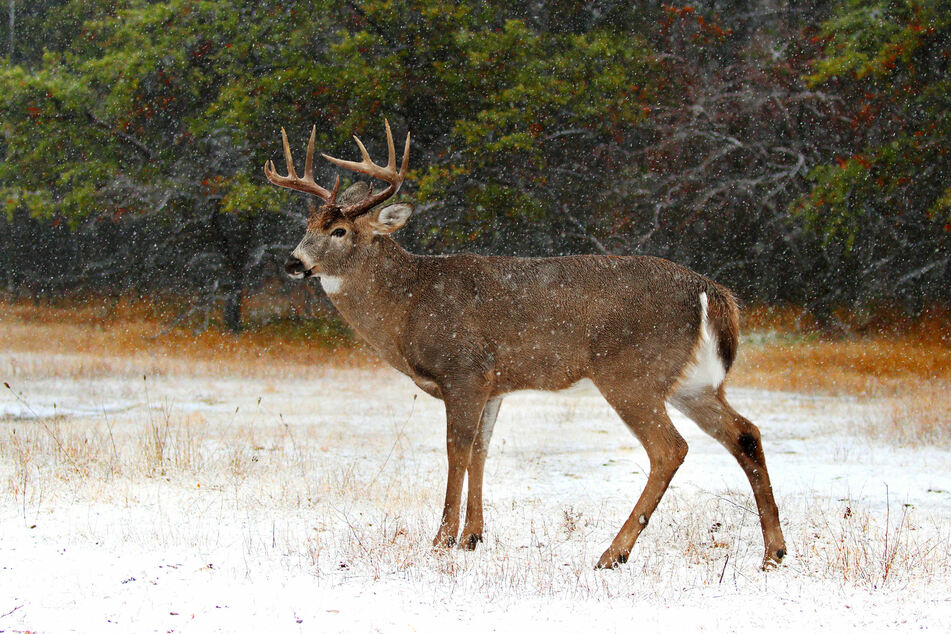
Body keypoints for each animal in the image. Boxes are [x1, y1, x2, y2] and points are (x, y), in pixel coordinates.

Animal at [266, 119, 788, 568]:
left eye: (340, 230)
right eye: (306, 226)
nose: (293, 263)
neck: (410, 305)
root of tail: (712, 292)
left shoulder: (464, 370)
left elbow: (456, 449)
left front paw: (441, 539)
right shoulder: (494, 384)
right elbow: (480, 450)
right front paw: (473, 537)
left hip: (630, 372)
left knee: (670, 448)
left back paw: (613, 554)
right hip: (690, 381)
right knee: (745, 433)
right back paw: (774, 553)